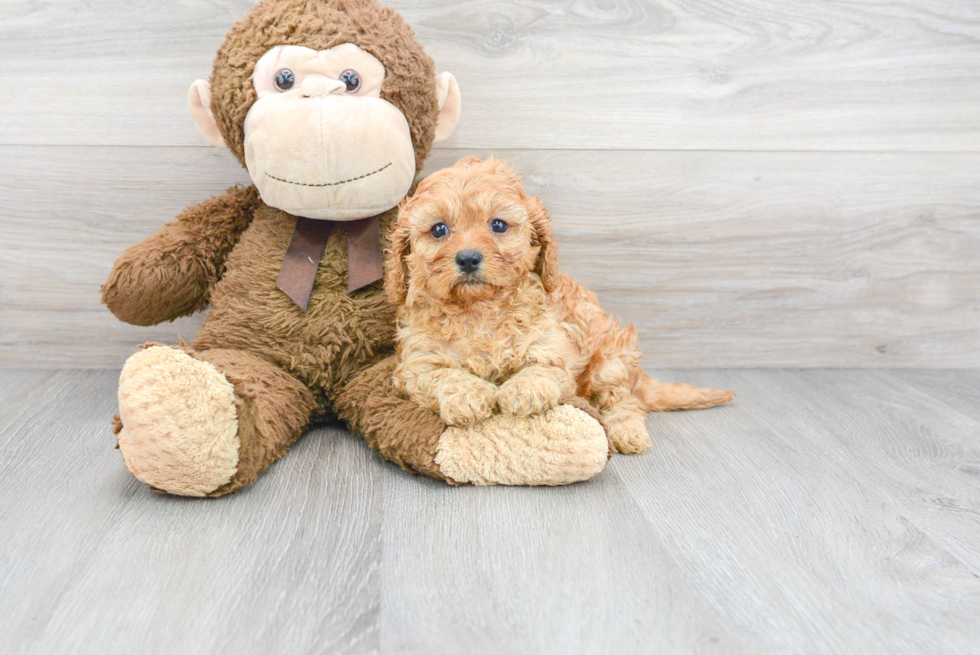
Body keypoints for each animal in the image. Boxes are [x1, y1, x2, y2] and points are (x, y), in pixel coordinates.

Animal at [384, 156, 736, 454]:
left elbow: (541, 369)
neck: (479, 309)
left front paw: (522, 391)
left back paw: (627, 431)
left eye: (498, 225)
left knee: (624, 402)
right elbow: (443, 375)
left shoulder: (552, 347)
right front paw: (468, 395)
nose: (468, 258)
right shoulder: (416, 365)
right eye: (439, 229)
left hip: (611, 363)